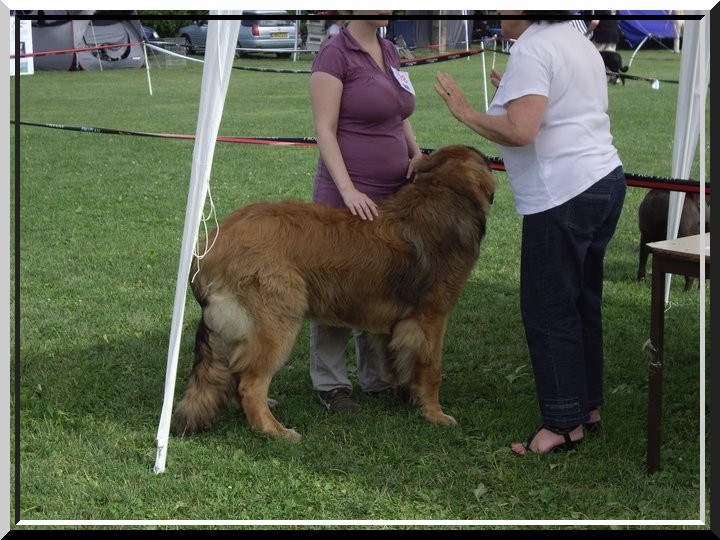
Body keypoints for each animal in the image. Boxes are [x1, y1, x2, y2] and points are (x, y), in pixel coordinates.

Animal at [170, 146, 496, 440]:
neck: (442, 193)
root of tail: (208, 246)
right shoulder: (430, 319)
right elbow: (431, 370)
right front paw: (435, 415)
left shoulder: (393, 325)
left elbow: (395, 362)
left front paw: (404, 395)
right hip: (276, 324)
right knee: (249, 385)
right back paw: (275, 431)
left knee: (238, 376)